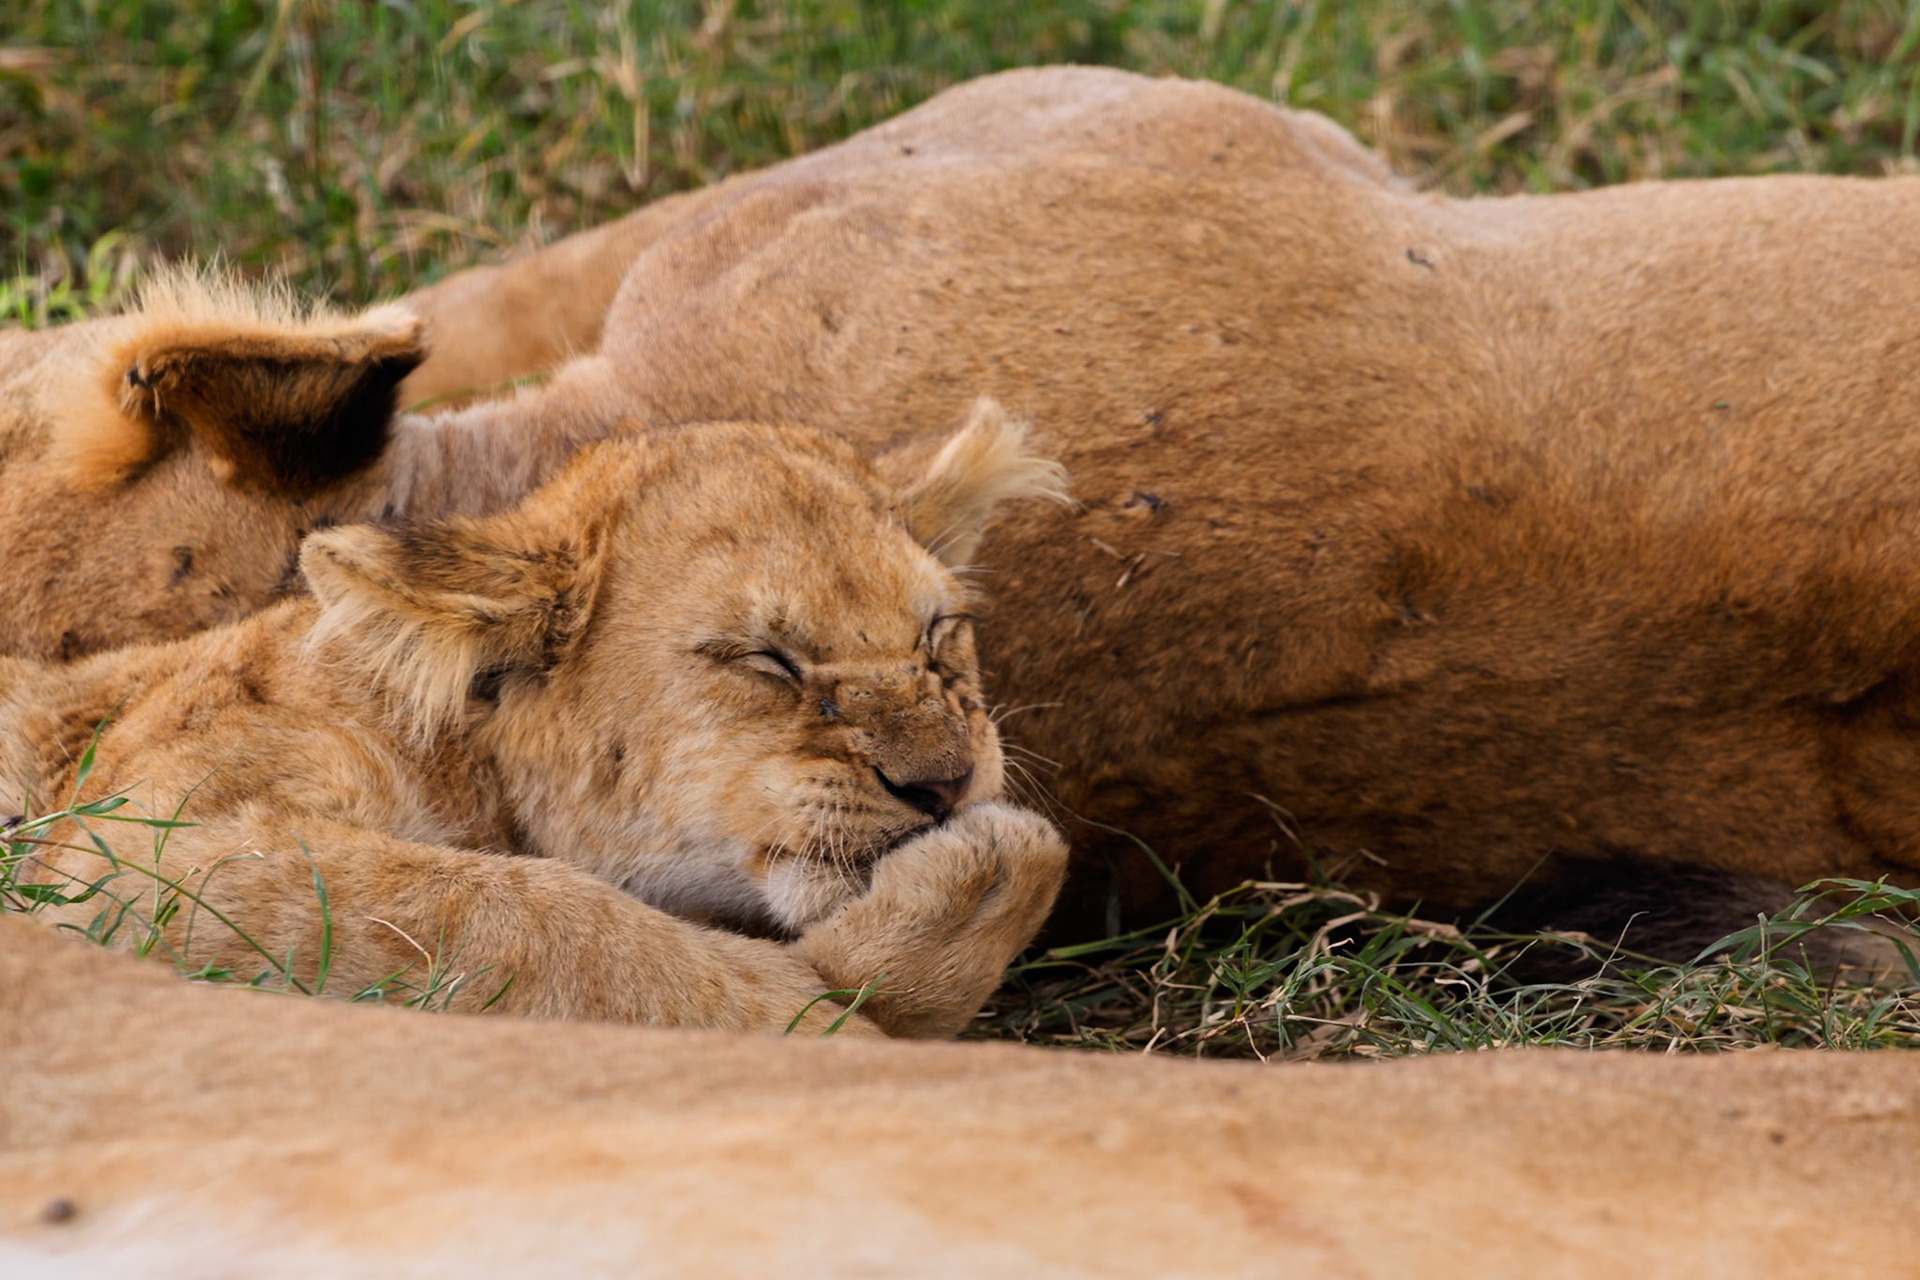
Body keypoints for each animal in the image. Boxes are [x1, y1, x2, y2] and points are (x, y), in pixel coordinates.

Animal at [2, 403, 1070, 1036]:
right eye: (763, 658)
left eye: (937, 635)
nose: (945, 781)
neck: (458, 754)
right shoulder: (120, 849)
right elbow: (536, 916)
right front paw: (832, 1003)